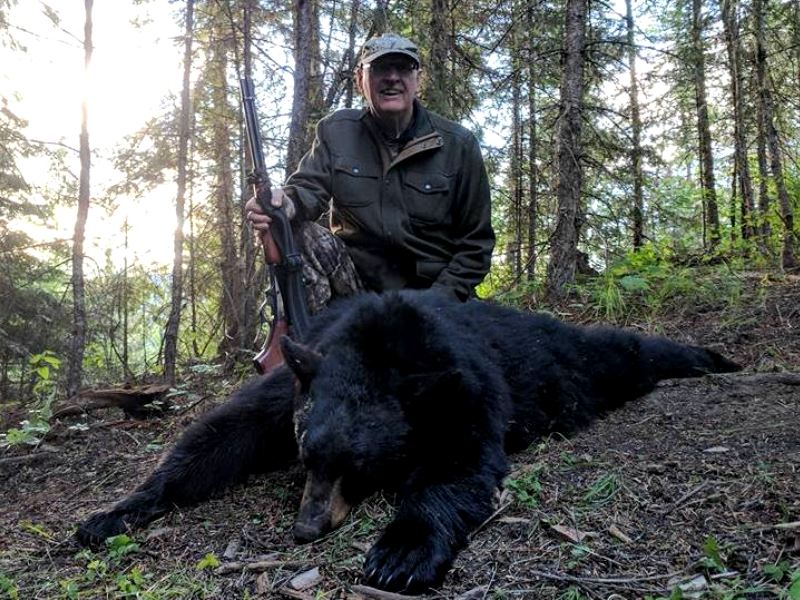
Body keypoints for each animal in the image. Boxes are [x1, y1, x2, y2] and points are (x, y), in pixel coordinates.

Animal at [76, 290, 740, 593]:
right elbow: (220, 436)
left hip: (573, 365)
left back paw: (714, 357)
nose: (307, 530)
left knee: (623, 350)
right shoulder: (296, 379)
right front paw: (114, 512)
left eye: (361, 467)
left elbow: (459, 462)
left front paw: (400, 552)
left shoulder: (460, 390)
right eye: (307, 453)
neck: (378, 344)